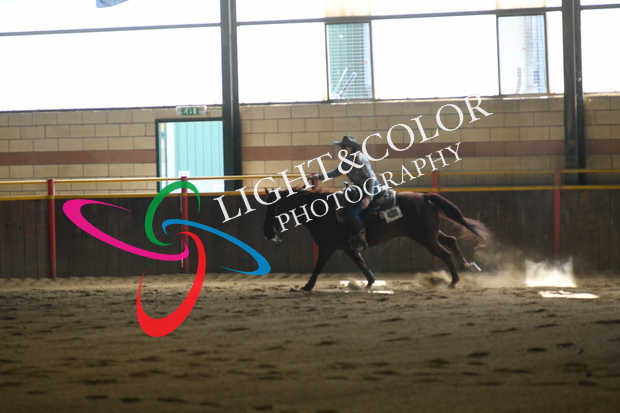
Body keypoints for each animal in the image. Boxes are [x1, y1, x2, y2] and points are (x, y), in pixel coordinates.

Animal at [263, 188, 488, 291]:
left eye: (271, 208)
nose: (266, 233)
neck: (323, 212)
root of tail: (424, 197)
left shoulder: (328, 247)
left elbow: (318, 267)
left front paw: (307, 286)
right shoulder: (348, 247)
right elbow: (362, 264)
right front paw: (370, 282)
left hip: (425, 238)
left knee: (445, 252)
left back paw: (454, 281)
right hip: (431, 234)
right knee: (451, 240)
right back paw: (468, 266)